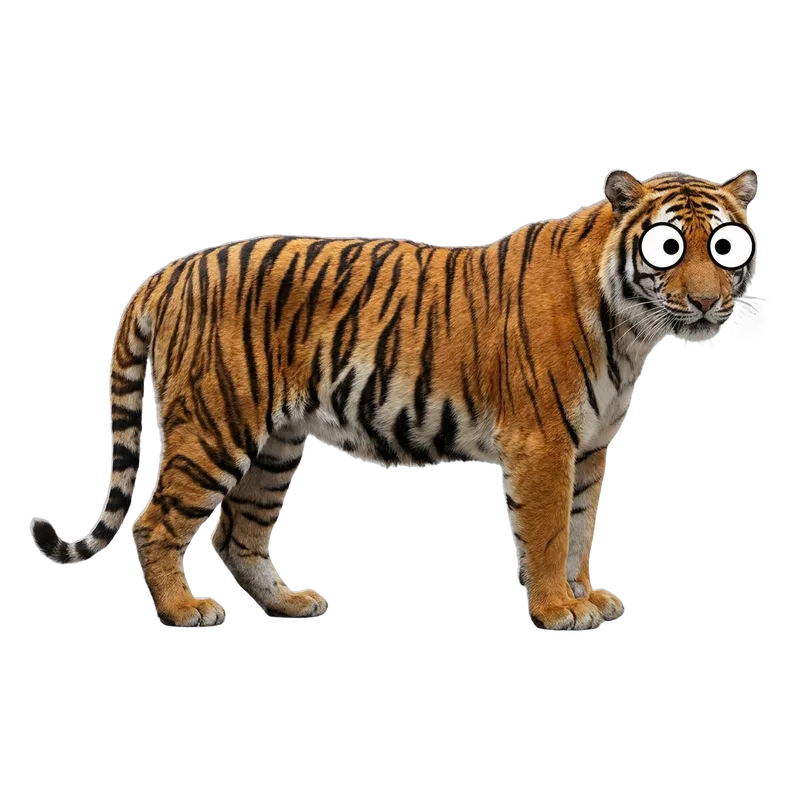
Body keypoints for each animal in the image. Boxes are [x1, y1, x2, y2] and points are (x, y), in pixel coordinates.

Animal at [28, 167, 759, 629]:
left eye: (727, 248)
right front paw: (558, 610)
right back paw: (186, 612)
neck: (633, 327)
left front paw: (589, 598)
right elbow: (552, 535)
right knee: (156, 523)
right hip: (216, 427)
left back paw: (291, 603)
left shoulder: (589, 448)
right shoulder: (545, 444)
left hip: (274, 445)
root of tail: (170, 270)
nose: (706, 302)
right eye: (669, 248)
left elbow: (582, 530)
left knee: (239, 534)